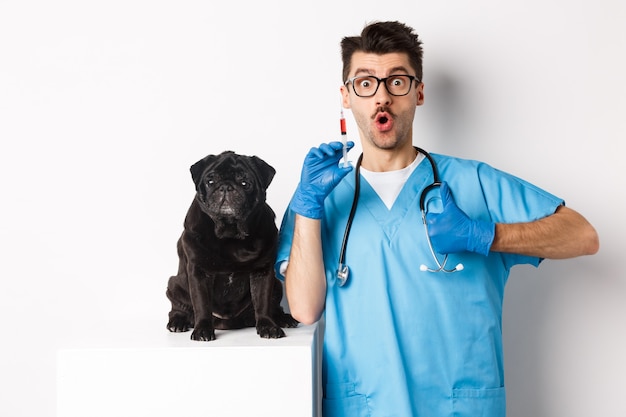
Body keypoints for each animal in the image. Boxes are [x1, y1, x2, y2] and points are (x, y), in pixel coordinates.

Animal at [163, 151, 294, 340]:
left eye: (245, 183)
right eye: (210, 181)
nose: (225, 187)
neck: (230, 233)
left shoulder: (262, 272)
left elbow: (263, 302)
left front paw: (268, 326)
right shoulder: (199, 272)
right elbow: (201, 304)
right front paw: (202, 329)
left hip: (276, 285)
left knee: (273, 306)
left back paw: (283, 319)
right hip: (175, 285)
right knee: (178, 307)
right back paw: (178, 322)